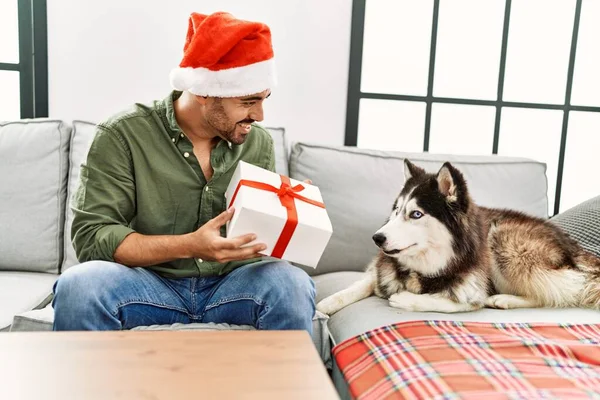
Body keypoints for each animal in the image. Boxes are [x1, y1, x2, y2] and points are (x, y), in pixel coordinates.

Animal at [316, 160, 596, 316]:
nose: (377, 238)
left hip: (504, 240)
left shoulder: (473, 289)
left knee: (555, 293)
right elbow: (357, 286)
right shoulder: (379, 272)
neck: (425, 266)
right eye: (396, 211)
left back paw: (504, 299)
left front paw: (406, 298)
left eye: (416, 214)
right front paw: (323, 305)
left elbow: (452, 301)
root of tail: (574, 246)